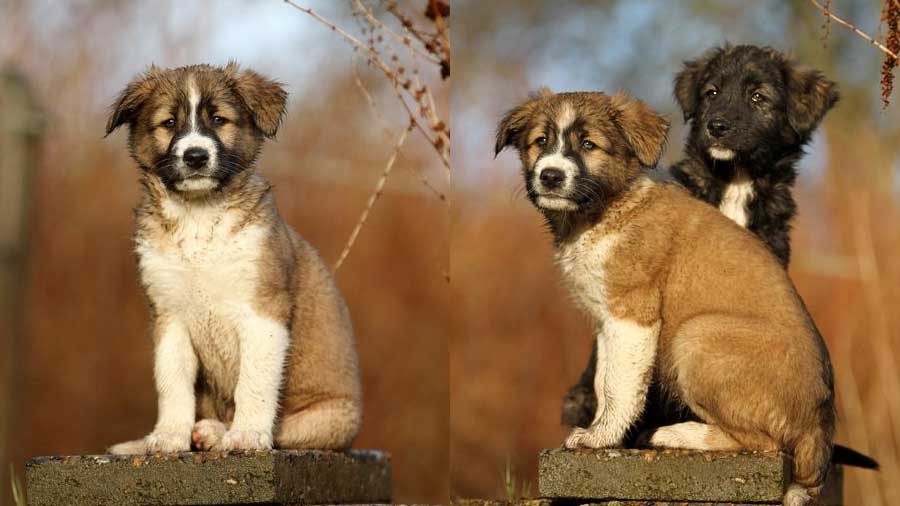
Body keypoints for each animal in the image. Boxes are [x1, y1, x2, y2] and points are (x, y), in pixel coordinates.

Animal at [103, 63, 362, 454]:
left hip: (328, 419)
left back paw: (217, 432)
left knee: (283, 430)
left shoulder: (263, 310)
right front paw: (169, 435)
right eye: (168, 123)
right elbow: (172, 380)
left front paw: (248, 434)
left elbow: (254, 381)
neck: (198, 219)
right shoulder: (169, 314)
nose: (195, 156)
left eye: (219, 119)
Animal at [496, 91, 832, 506]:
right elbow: (605, 381)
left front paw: (599, 438)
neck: (606, 210)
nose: (551, 175)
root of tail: (817, 427)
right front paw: (606, 432)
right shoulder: (608, 320)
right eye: (539, 141)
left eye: (589, 145)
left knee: (764, 442)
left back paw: (676, 433)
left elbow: (619, 386)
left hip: (696, 335)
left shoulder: (633, 313)